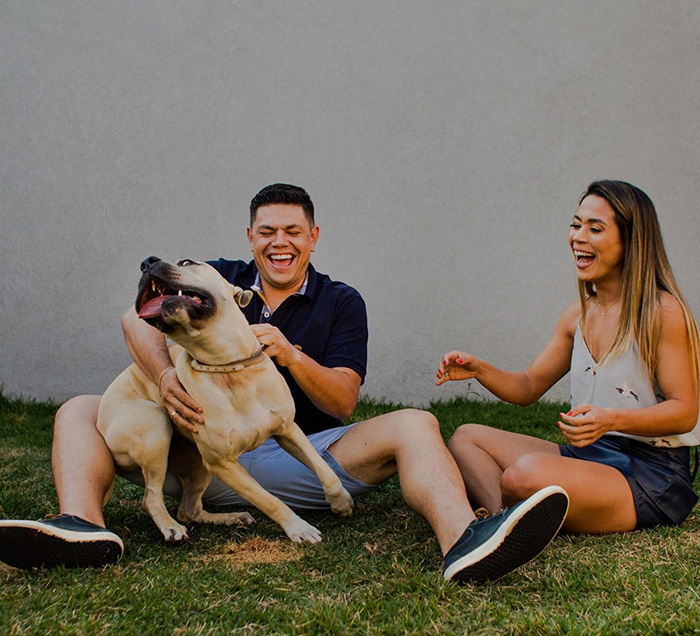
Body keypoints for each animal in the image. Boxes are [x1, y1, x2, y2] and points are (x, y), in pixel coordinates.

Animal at [95, 256, 352, 544]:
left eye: (187, 262)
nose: (147, 262)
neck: (228, 366)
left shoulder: (288, 430)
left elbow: (323, 468)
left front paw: (341, 501)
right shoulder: (224, 464)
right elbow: (268, 500)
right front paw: (299, 528)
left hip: (196, 463)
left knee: (190, 509)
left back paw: (231, 517)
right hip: (155, 430)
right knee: (152, 497)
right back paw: (170, 527)